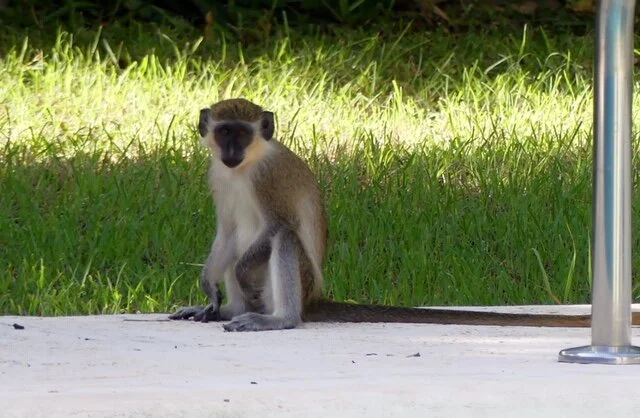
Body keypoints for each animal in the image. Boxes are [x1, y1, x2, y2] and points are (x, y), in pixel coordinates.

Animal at [169, 98, 640, 331]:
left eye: (242, 133)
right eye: (223, 132)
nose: (231, 150)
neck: (245, 167)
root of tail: (314, 301)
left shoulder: (270, 178)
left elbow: (277, 227)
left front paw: (235, 279)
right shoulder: (218, 176)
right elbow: (228, 232)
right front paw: (209, 287)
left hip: (299, 288)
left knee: (279, 246)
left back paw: (280, 320)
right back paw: (225, 310)